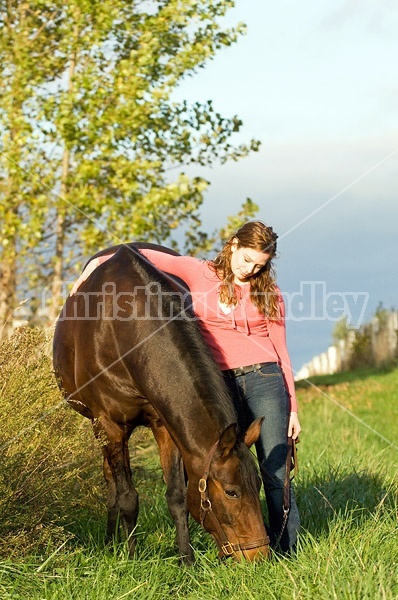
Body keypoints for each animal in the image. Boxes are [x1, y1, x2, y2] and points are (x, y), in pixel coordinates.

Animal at [52, 244, 268, 564]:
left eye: (259, 484)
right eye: (232, 492)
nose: (260, 555)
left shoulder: (165, 424)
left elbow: (176, 495)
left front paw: (186, 559)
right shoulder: (110, 426)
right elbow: (128, 497)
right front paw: (130, 557)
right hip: (100, 428)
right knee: (111, 483)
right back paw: (110, 541)